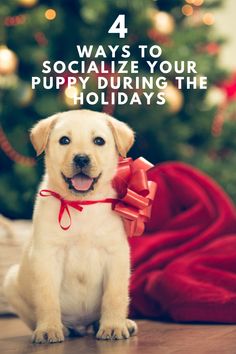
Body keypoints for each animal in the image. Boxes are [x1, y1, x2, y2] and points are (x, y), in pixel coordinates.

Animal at [3, 110, 137, 342]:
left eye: (99, 141)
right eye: (64, 140)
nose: (81, 158)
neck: (81, 205)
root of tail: (81, 326)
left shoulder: (116, 255)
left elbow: (115, 295)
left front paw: (112, 326)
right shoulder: (46, 256)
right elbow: (47, 298)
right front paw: (48, 329)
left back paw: (120, 323)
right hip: (11, 281)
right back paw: (62, 328)